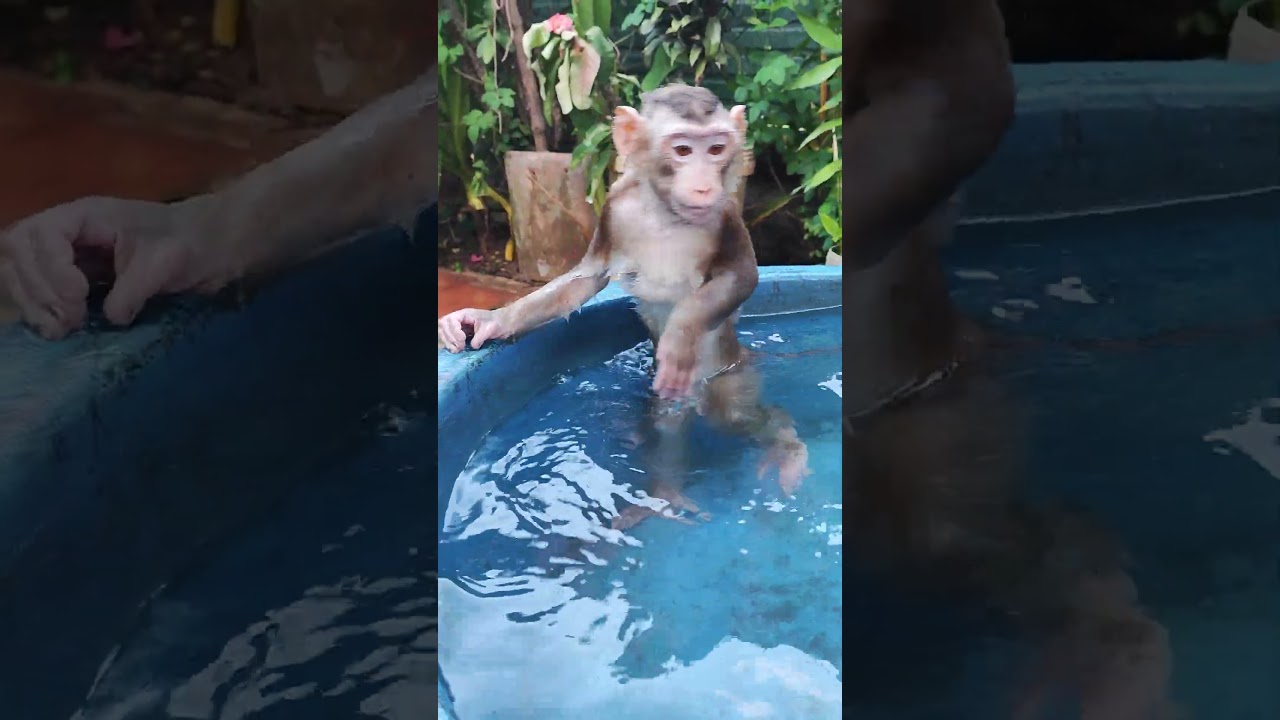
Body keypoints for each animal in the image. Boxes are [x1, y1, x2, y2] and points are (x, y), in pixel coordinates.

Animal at [438, 84, 810, 531]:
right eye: (683, 150)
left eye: (717, 148)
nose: (704, 186)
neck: (667, 213)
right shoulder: (614, 206)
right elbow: (585, 279)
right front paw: (489, 321)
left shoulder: (725, 213)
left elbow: (743, 278)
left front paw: (680, 336)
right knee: (667, 418)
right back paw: (662, 490)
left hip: (729, 376)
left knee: (735, 416)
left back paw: (783, 445)